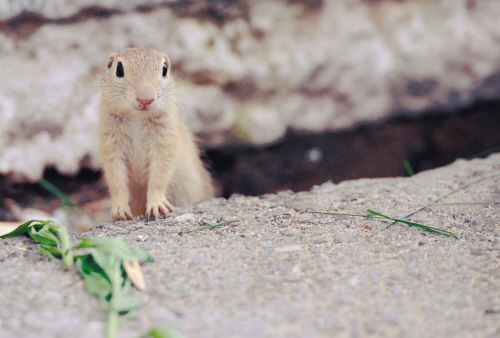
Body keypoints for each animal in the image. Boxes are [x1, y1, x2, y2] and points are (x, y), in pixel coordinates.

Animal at [98, 48, 214, 222]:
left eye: (164, 69)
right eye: (119, 69)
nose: (145, 99)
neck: (137, 117)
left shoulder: (165, 141)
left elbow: (159, 176)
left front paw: (157, 206)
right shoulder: (111, 145)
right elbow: (116, 180)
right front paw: (120, 211)